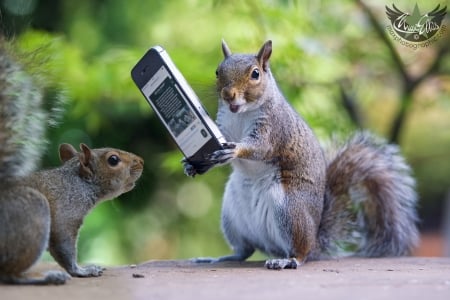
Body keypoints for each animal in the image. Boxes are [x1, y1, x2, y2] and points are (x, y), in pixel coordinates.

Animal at [0, 38, 144, 284]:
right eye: (113, 160)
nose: (141, 162)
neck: (78, 184)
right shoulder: (65, 215)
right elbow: (64, 246)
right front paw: (82, 270)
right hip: (32, 212)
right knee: (9, 274)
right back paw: (45, 278)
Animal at [183, 39, 418, 270]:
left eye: (255, 74)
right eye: (217, 71)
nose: (227, 94)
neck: (241, 113)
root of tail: (314, 240)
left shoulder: (275, 128)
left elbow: (260, 148)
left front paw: (235, 150)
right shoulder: (222, 128)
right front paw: (191, 164)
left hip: (289, 210)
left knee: (300, 252)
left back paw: (289, 260)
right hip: (231, 216)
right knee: (244, 251)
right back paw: (218, 258)